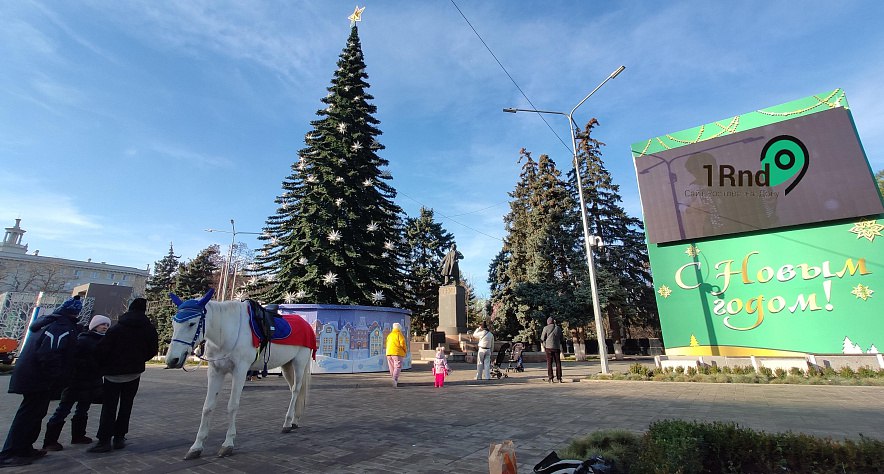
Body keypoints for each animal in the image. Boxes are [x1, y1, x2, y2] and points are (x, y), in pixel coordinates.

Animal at [166, 288, 314, 460]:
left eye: (192, 323)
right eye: (174, 323)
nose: (172, 360)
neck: (225, 332)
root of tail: (306, 325)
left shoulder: (240, 370)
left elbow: (232, 406)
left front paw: (228, 444)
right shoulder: (215, 371)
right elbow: (207, 407)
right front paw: (196, 446)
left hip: (299, 363)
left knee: (296, 390)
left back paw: (287, 423)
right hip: (286, 365)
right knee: (294, 390)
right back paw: (294, 421)